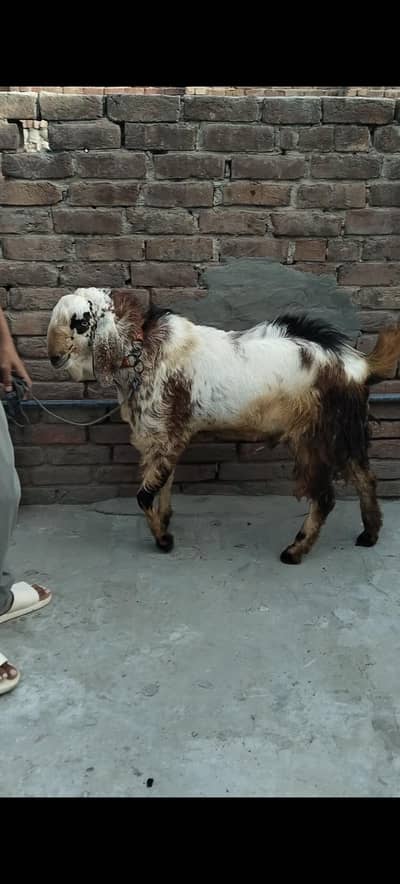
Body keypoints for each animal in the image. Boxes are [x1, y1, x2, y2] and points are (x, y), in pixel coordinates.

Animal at [47, 287, 400, 564]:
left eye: (80, 322)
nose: (53, 357)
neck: (143, 352)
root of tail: (357, 366)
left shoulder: (167, 433)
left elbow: (145, 495)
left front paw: (164, 540)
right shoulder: (165, 434)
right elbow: (164, 483)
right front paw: (166, 523)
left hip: (314, 437)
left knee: (325, 497)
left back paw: (294, 551)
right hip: (345, 432)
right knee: (366, 478)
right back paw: (369, 535)